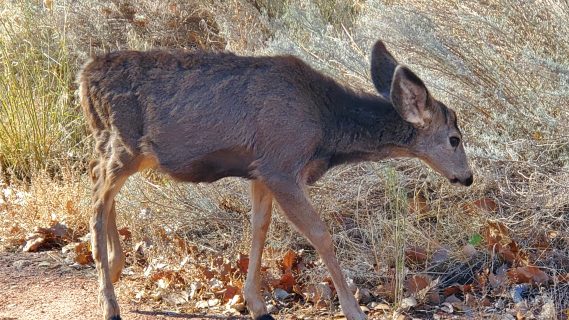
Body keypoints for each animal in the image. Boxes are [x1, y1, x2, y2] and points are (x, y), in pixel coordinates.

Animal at [79, 40, 470, 320]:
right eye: (454, 138)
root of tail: (83, 77)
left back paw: (114, 269)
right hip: (125, 143)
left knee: (102, 187)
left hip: (124, 148)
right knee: (96, 193)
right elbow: (320, 235)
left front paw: (256, 304)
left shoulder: (259, 169)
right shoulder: (281, 165)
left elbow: (259, 228)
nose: (466, 177)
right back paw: (108, 302)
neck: (326, 126)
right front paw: (354, 310)